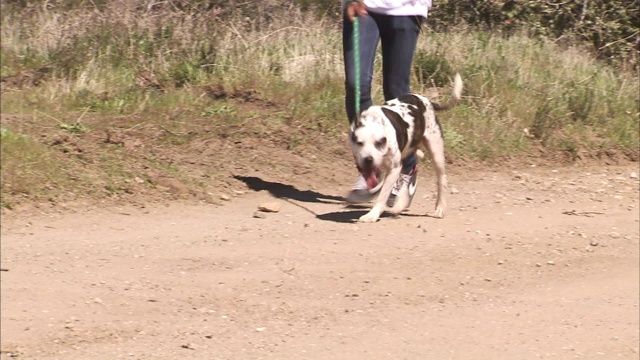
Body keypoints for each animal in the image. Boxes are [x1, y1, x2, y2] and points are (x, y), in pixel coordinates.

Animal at [348, 73, 462, 222]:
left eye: (379, 142)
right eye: (359, 143)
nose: (368, 159)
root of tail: (426, 100)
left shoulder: (393, 168)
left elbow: (383, 195)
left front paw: (372, 215)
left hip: (436, 153)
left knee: (441, 180)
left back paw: (440, 207)